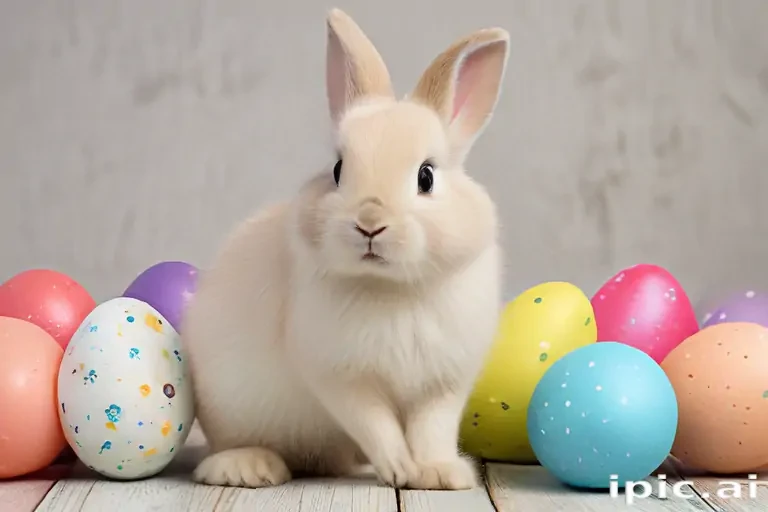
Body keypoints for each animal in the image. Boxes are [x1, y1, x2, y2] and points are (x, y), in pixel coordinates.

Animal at [182, 7, 510, 491]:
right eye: (338, 170)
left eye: (426, 176)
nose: (369, 222)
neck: (392, 289)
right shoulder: (340, 378)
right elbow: (375, 423)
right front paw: (399, 469)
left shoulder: (443, 384)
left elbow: (432, 428)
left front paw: (439, 473)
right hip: (228, 407)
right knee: (225, 450)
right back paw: (249, 467)